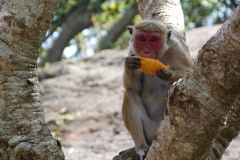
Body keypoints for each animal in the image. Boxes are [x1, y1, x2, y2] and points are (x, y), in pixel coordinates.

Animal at [122, 19, 193, 159]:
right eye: (142, 39)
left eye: (153, 39)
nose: (146, 52)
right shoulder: (132, 51)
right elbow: (133, 87)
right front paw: (129, 64)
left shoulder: (177, 49)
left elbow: (190, 71)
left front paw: (170, 74)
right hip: (150, 131)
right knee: (130, 93)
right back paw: (142, 147)